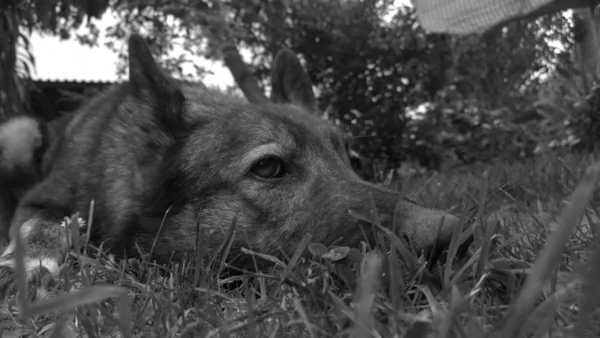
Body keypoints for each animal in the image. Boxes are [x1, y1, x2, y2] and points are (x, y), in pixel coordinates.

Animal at [0, 34, 462, 298]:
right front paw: (29, 263)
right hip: (18, 133)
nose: (450, 234)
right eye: (269, 168)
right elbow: (39, 226)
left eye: (356, 163)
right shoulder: (41, 201)